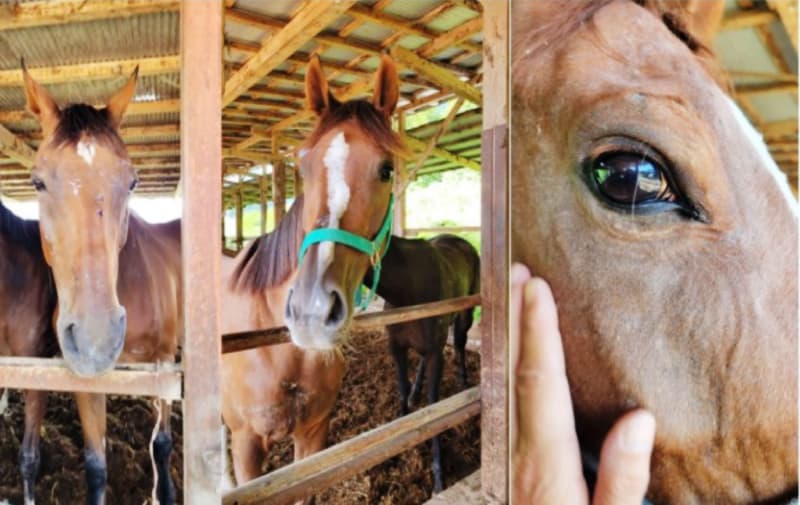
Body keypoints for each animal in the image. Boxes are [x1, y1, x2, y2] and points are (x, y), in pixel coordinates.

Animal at [22, 65, 182, 504]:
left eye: (132, 181)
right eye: (38, 182)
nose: (97, 339)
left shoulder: (165, 361)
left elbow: (163, 443)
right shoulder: (85, 380)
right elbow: (96, 465)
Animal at [363, 233, 479, 493]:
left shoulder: (436, 352)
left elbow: (433, 405)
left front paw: (438, 477)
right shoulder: (397, 347)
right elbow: (402, 389)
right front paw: (396, 450)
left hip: (465, 315)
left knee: (460, 343)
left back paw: (463, 381)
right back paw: (416, 393)